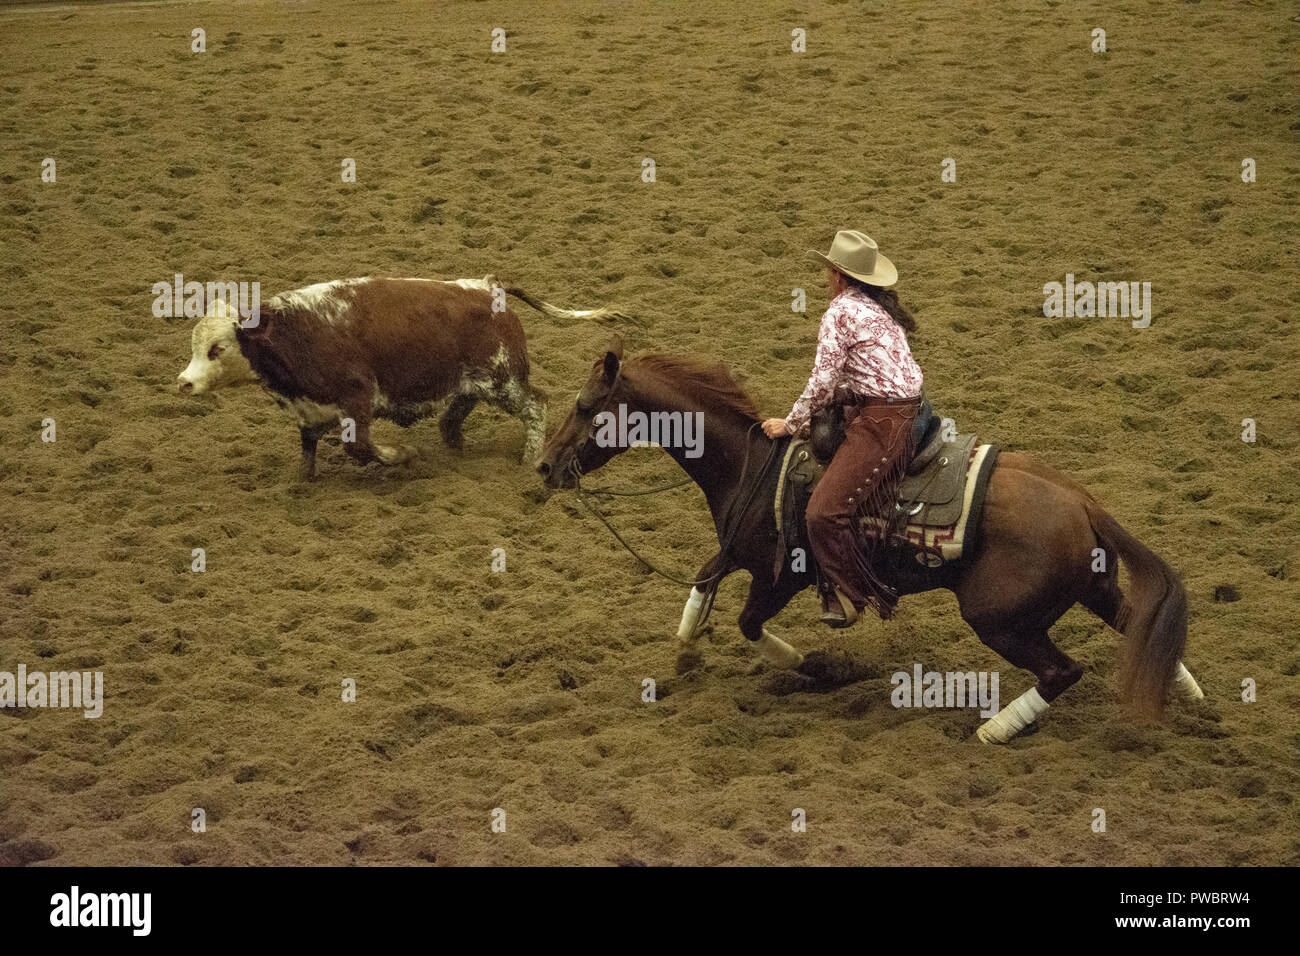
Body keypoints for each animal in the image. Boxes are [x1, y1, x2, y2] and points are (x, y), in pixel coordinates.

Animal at [179, 278, 629, 486]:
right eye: (195, 344)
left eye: (217, 348)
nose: (184, 382)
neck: (294, 334)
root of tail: (488, 286)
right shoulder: (310, 410)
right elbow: (308, 447)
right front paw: (300, 484)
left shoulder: (357, 398)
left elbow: (359, 447)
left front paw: (404, 455)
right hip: (472, 382)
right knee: (454, 414)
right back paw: (456, 450)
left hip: (505, 381)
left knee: (536, 405)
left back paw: (527, 458)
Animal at [533, 340, 1201, 743]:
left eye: (586, 406)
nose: (543, 467)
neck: (753, 466)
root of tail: (1084, 502)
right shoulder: (741, 554)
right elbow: (702, 580)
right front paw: (685, 650)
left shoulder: (780, 576)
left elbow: (750, 625)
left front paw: (820, 666)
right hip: (1092, 586)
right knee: (1136, 622)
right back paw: (1182, 690)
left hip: (999, 618)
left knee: (1065, 669)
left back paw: (995, 730)